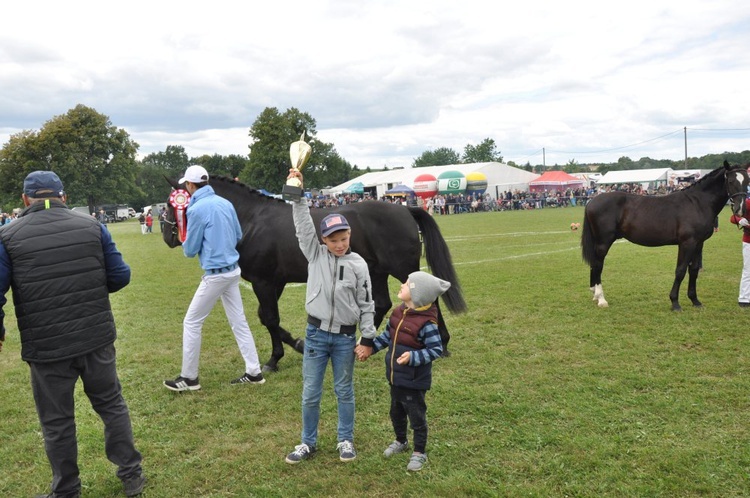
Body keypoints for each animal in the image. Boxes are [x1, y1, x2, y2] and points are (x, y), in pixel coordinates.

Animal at [164, 177, 468, 372]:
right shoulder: (275, 283)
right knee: (382, 303)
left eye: (172, 204)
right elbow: (266, 318)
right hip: (376, 272)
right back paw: (363, 343)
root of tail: (405, 209)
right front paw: (291, 348)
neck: (253, 220)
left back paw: (441, 343)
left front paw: (277, 357)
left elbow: (270, 319)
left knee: (428, 300)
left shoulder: (264, 282)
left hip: (402, 269)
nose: (168, 235)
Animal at [584, 161, 748, 310]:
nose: (740, 209)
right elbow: (680, 271)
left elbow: (694, 270)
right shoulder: (687, 243)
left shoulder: (698, 243)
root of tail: (592, 201)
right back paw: (601, 299)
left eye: (747, 180)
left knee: (594, 264)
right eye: (731, 181)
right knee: (598, 265)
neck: (697, 203)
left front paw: (695, 300)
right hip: (604, 242)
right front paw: (675, 302)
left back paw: (595, 295)